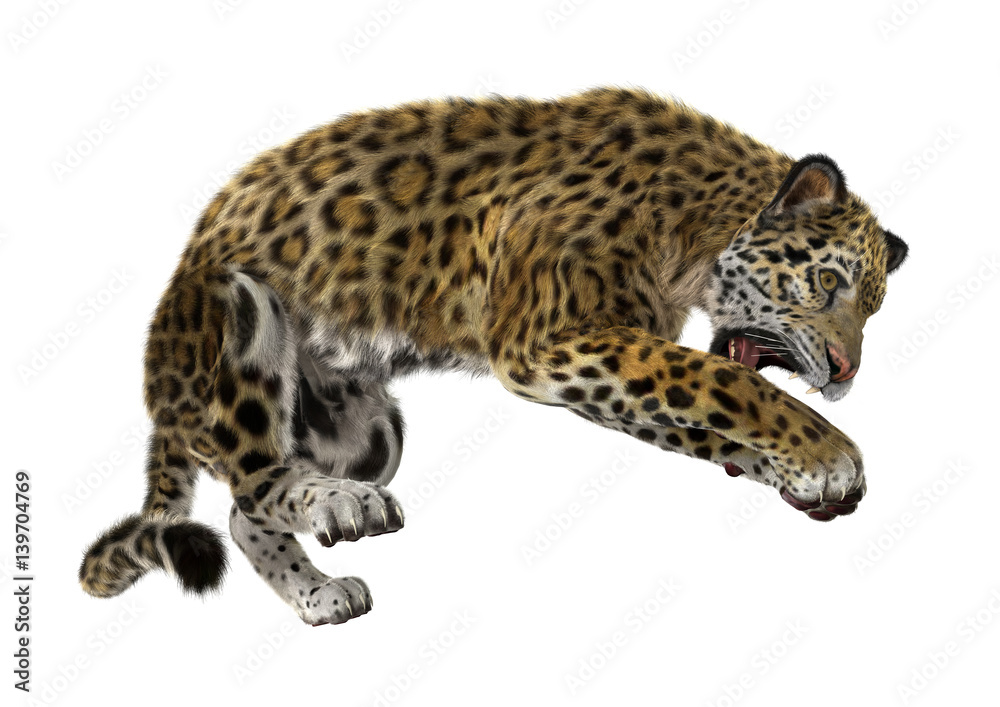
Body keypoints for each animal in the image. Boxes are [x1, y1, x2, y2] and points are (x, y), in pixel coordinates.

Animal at [79, 87, 908, 626]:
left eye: (873, 307)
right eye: (828, 281)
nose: (845, 372)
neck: (697, 228)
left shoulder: (592, 357)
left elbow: (702, 413)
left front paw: (804, 475)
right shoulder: (552, 337)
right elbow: (719, 380)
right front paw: (829, 452)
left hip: (370, 432)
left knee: (247, 508)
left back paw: (321, 592)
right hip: (241, 325)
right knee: (253, 475)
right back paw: (344, 506)